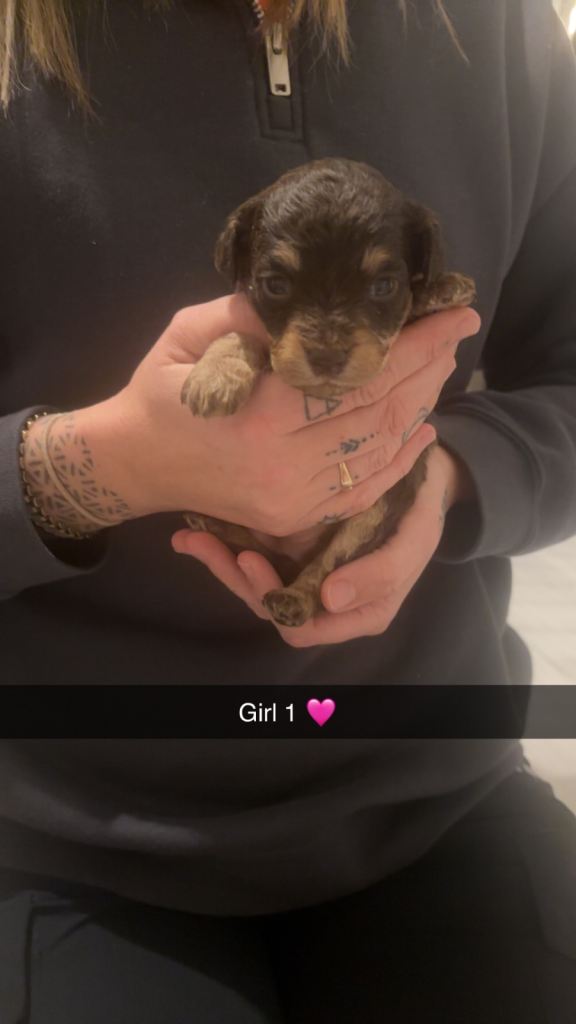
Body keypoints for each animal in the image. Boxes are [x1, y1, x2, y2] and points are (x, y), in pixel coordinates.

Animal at [180, 158, 475, 627]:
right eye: (277, 285)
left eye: (383, 286)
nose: (327, 355)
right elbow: (243, 336)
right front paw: (215, 376)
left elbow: (410, 310)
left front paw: (442, 288)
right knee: (260, 551)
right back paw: (215, 526)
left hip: (376, 510)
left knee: (325, 569)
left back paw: (292, 599)